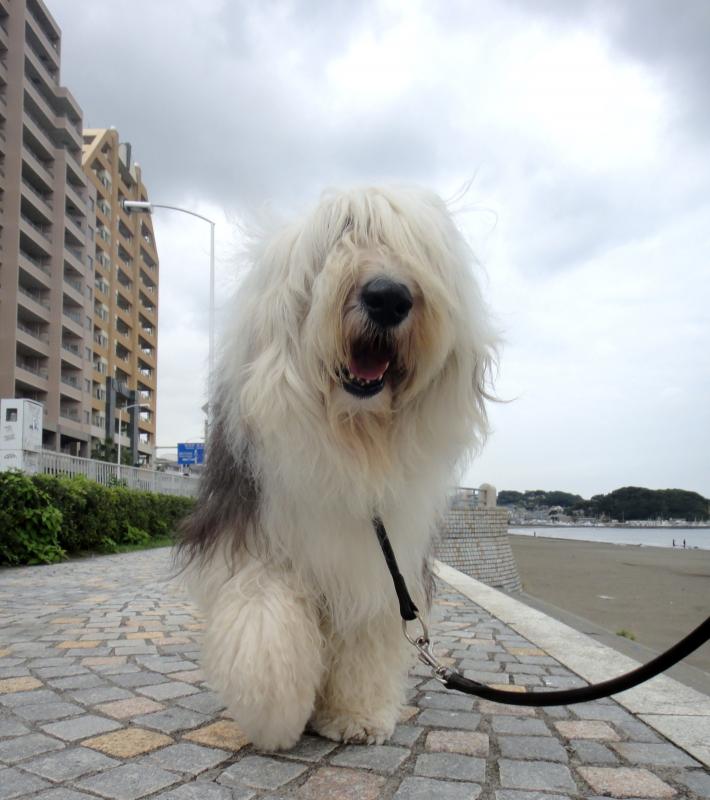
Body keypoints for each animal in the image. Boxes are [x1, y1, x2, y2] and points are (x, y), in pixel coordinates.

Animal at [178, 186, 496, 750]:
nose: (389, 297)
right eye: (340, 234)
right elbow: (266, 612)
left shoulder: (381, 564)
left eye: (415, 249)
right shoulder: (253, 526)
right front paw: (274, 712)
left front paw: (356, 717)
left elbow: (367, 635)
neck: (352, 438)